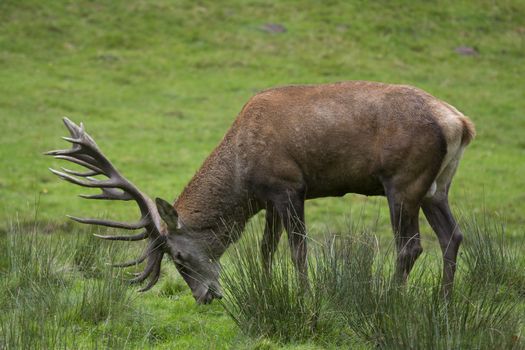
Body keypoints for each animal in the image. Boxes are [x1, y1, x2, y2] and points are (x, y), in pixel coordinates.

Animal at [48, 81, 474, 304]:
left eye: (179, 257)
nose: (205, 297)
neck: (243, 174)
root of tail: (459, 122)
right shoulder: (269, 198)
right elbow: (266, 248)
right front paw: (267, 289)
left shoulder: (290, 186)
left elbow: (298, 248)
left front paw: (304, 296)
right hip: (437, 187)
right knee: (452, 235)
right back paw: (444, 300)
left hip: (402, 181)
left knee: (411, 245)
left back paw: (391, 297)